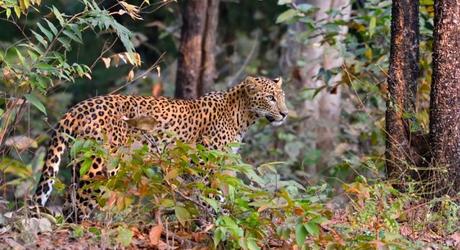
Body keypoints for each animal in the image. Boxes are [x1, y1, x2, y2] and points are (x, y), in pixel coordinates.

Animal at [33, 75, 288, 221]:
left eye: (282, 96)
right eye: (270, 98)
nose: (285, 113)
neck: (243, 115)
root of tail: (79, 107)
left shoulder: (220, 164)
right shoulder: (205, 162)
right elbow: (212, 195)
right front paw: (217, 220)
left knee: (69, 199)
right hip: (101, 167)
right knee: (78, 204)